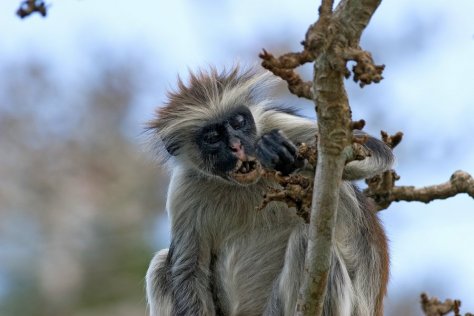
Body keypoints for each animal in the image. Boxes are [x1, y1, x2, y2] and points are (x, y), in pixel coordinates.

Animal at [145, 65, 392, 314]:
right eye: (213, 137)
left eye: (238, 122)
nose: (236, 145)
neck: (243, 185)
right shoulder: (183, 188)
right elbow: (188, 270)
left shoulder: (275, 122)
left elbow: (372, 149)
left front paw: (283, 155)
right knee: (161, 265)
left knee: (305, 240)